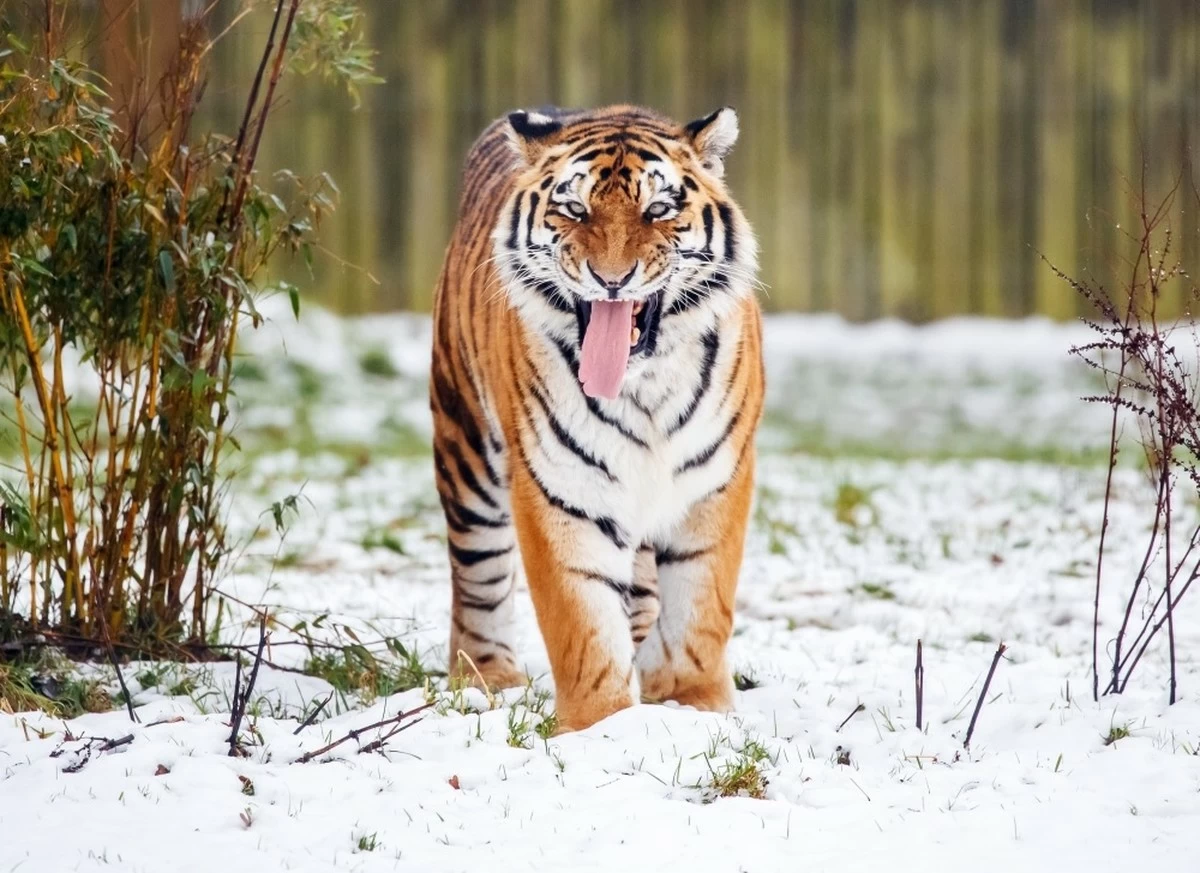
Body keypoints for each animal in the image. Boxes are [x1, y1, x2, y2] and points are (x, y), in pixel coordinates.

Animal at [430, 104, 763, 733]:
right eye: (574, 209)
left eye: (658, 210)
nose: (612, 279)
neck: (644, 385)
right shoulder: (560, 488)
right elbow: (582, 621)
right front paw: (602, 727)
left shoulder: (716, 481)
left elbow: (701, 606)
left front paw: (693, 702)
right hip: (467, 449)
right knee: (478, 575)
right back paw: (488, 678)